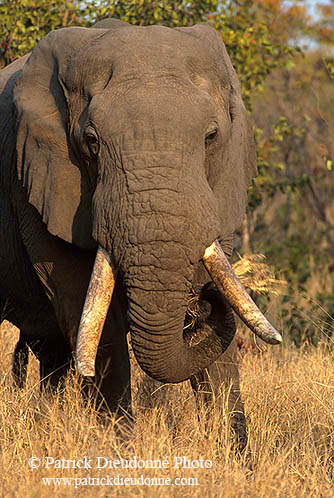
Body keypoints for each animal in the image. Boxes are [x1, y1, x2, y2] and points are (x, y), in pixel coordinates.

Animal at [0, 18, 282, 448]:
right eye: (91, 142)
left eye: (211, 137)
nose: (202, 301)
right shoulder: (34, 179)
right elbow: (94, 320)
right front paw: (119, 452)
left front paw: (235, 455)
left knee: (52, 353)